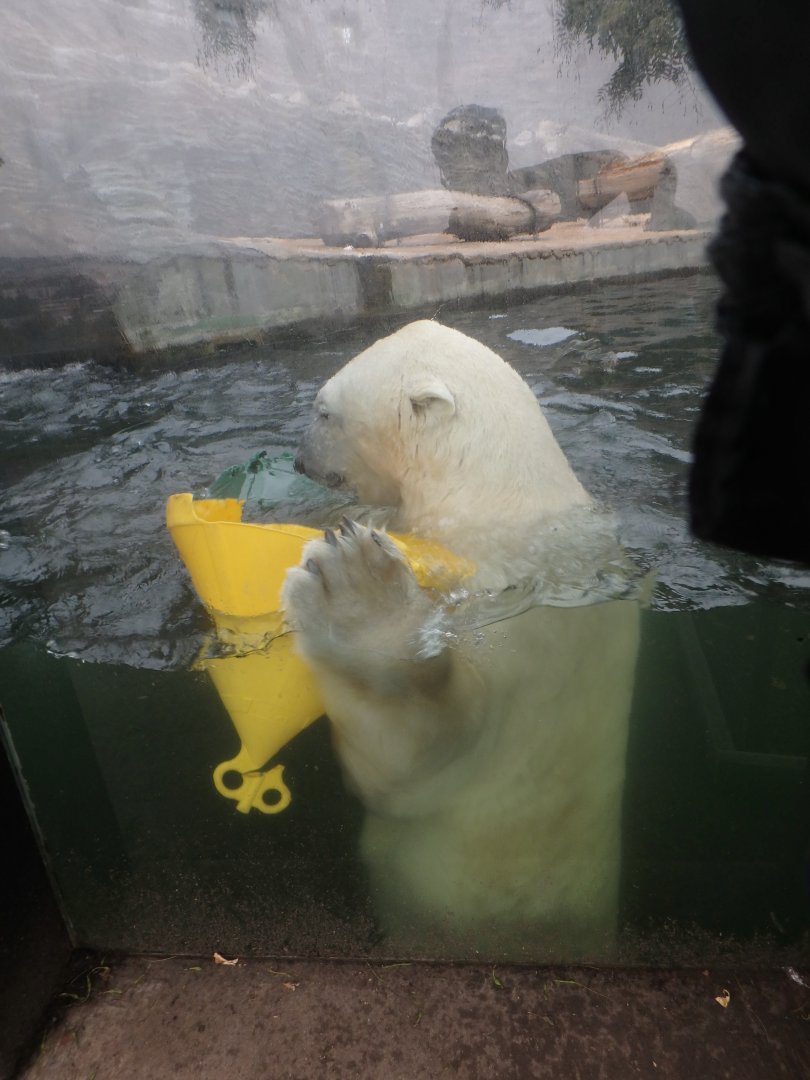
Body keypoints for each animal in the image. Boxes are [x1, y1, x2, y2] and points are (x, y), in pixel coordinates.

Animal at [281, 319, 640, 960]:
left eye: (324, 410)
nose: (299, 461)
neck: (491, 496)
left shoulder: (513, 620)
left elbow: (413, 764)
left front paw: (354, 590)